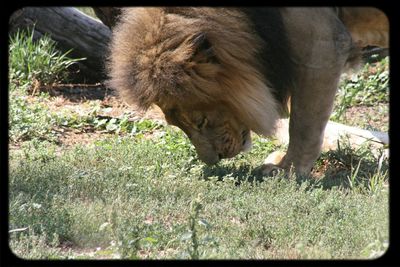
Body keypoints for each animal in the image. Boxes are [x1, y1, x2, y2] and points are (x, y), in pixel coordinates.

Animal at [108, 7, 390, 176]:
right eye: (176, 125)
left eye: (200, 121)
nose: (214, 160)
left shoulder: (322, 41)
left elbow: (303, 124)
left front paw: (287, 170)